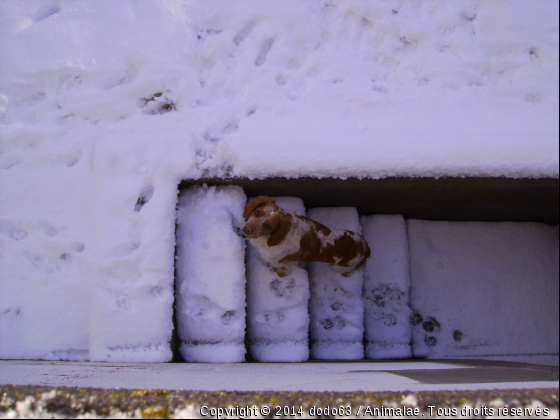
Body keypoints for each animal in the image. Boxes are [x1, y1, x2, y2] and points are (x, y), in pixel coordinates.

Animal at [242, 196, 370, 278]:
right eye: (257, 212)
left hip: (339, 267)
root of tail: (366, 249)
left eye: (268, 226)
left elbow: (281, 271)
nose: (246, 229)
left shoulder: (278, 262)